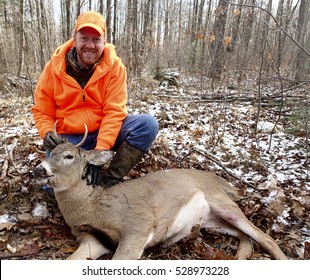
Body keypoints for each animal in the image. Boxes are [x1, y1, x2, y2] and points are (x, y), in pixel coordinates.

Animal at [32, 124, 286, 260]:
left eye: (69, 156)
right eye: (50, 154)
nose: (38, 169)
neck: (93, 206)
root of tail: (221, 181)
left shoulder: (137, 225)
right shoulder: (91, 239)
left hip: (222, 203)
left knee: (265, 237)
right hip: (211, 221)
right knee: (246, 236)